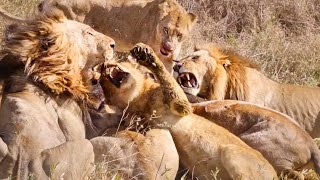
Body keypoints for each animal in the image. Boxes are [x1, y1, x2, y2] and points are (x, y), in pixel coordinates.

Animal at [99, 43, 276, 180]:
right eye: (102, 83)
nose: (103, 67)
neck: (138, 99)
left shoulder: (181, 105)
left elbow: (167, 79)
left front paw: (146, 55)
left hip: (231, 151)